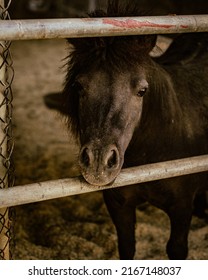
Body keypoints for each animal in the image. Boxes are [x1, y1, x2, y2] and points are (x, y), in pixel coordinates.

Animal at [61, 0, 208, 260]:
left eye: (142, 91)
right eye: (78, 86)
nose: (98, 162)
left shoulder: (181, 208)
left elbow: (177, 247)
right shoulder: (119, 206)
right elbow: (127, 247)